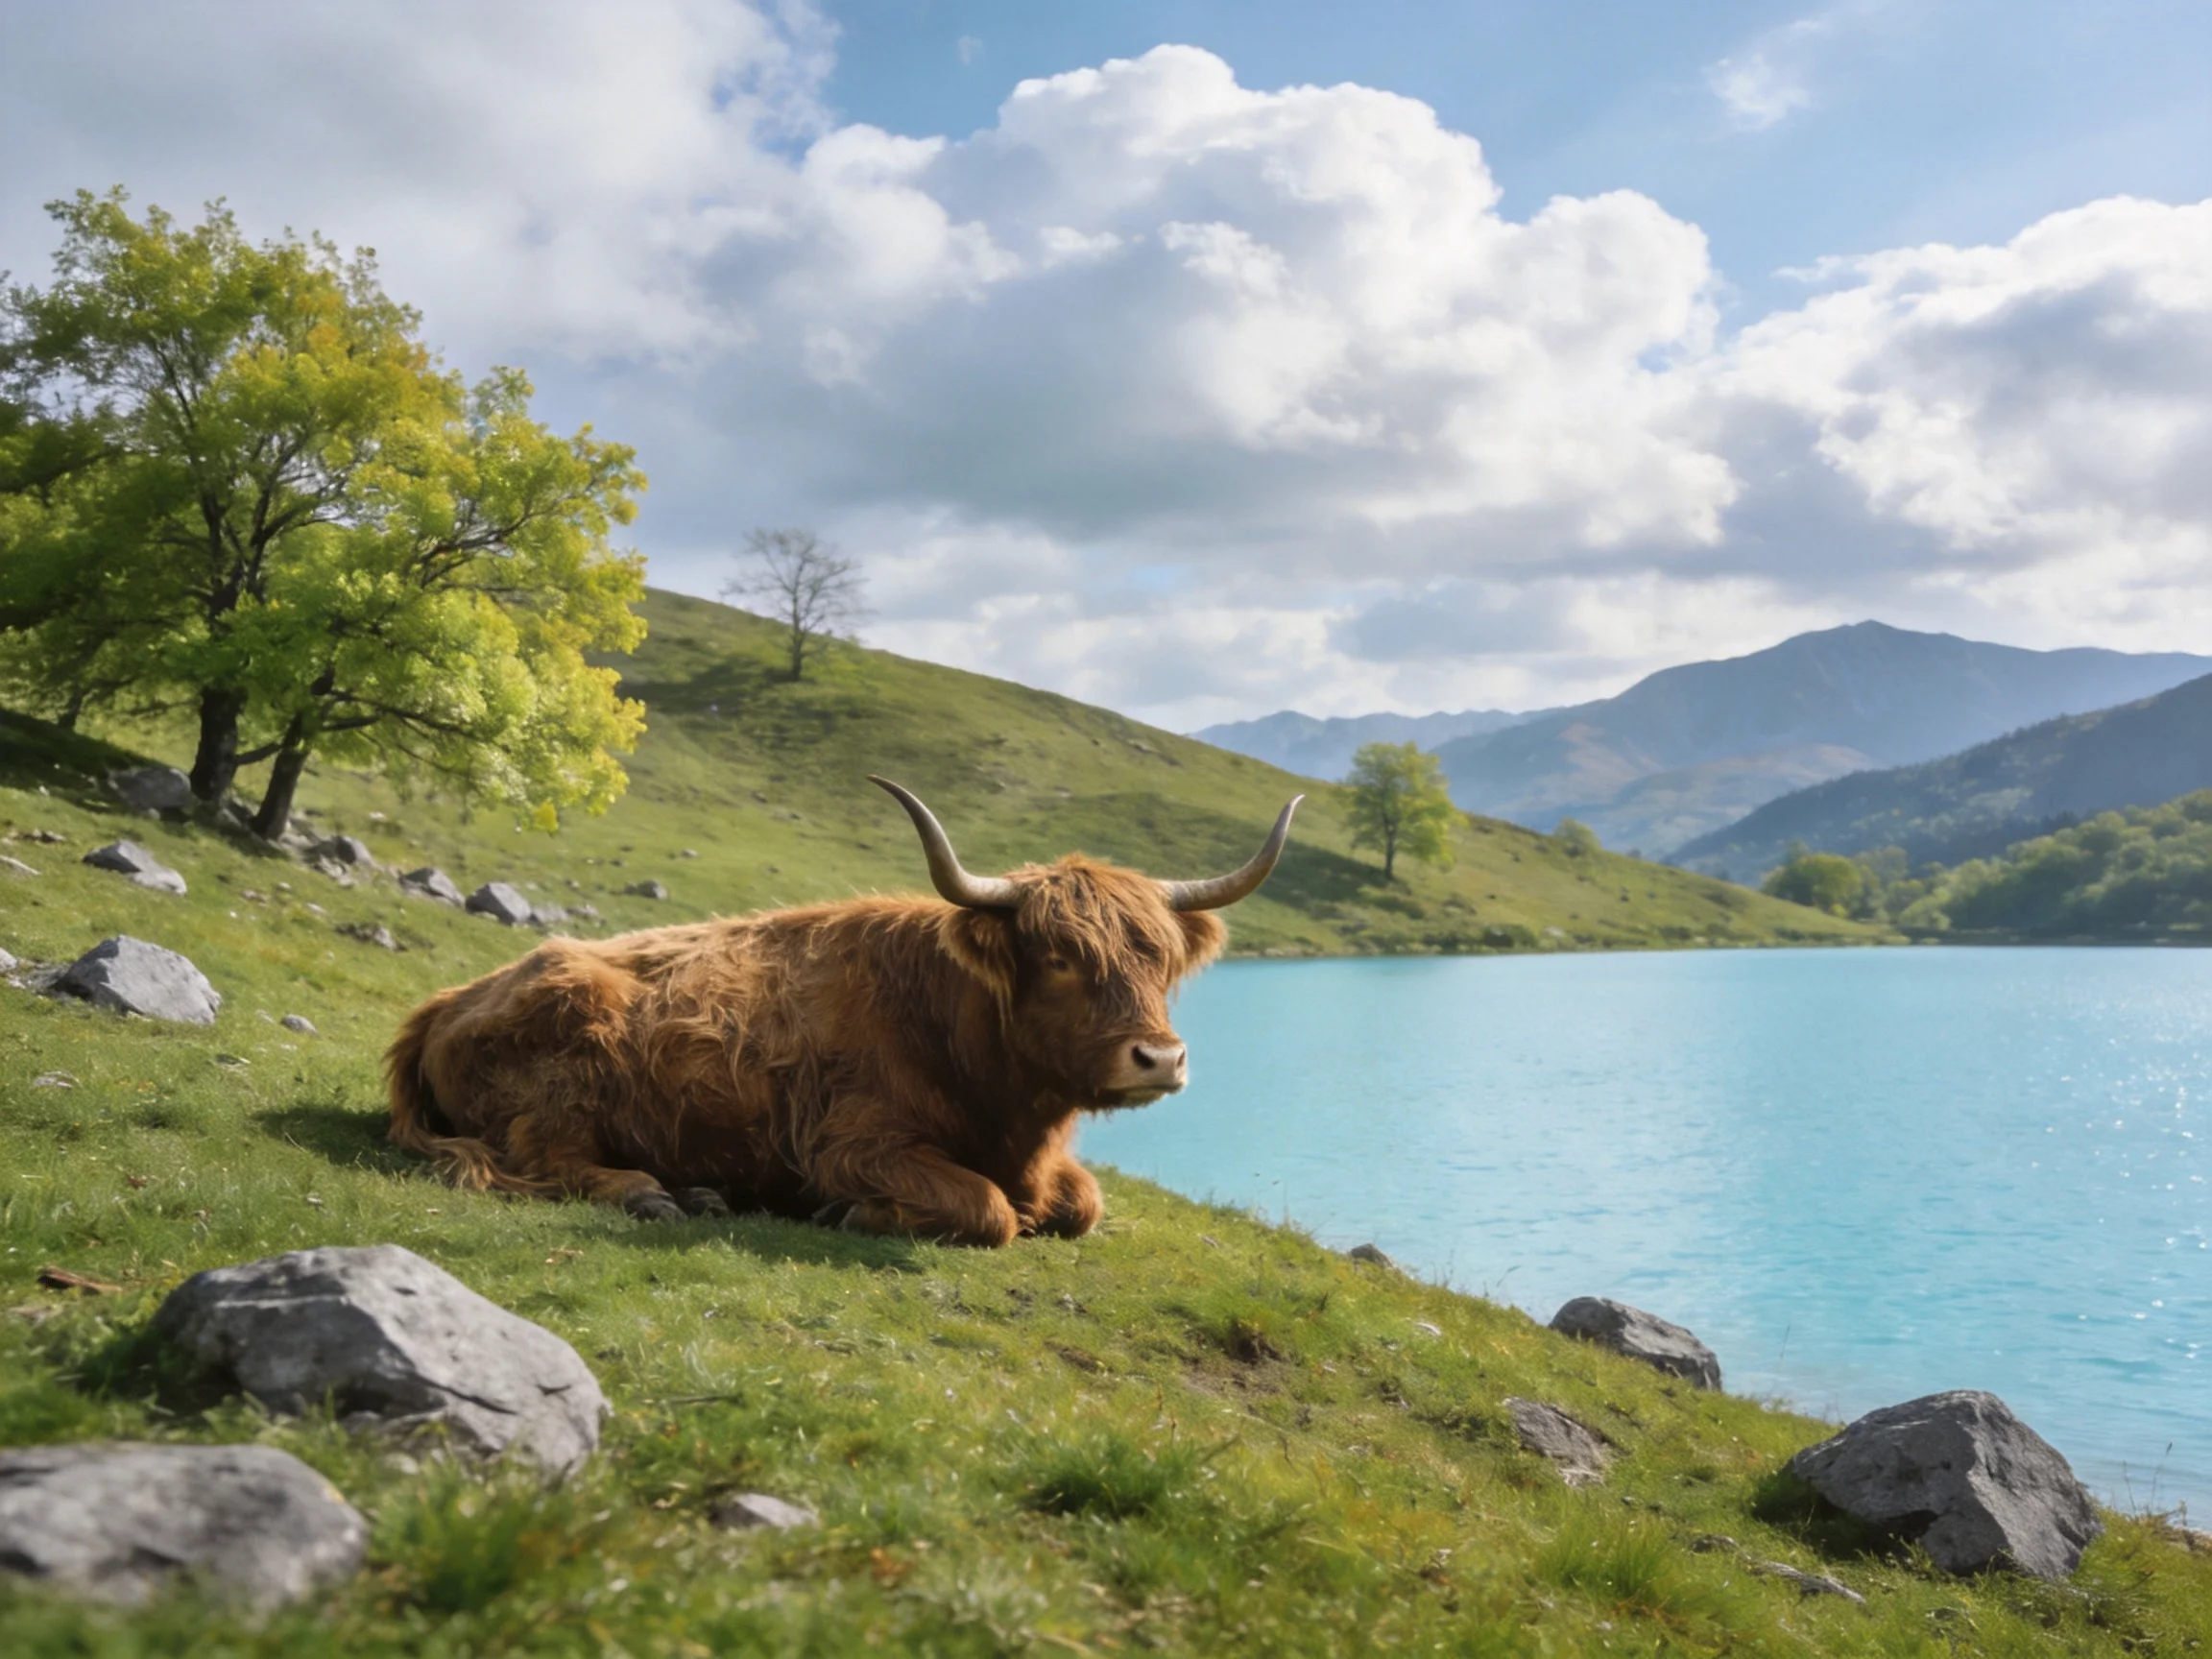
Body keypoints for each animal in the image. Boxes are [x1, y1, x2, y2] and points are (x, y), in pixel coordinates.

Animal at [385, 778, 1300, 1246]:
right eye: (1060, 957)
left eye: (1160, 958)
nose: (1160, 1059)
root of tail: (446, 1000)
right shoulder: (851, 1144)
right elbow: (992, 1211)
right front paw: (850, 1212)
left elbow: (1081, 1204)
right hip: (567, 1062)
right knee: (546, 1158)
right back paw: (653, 1193)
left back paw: (701, 1194)